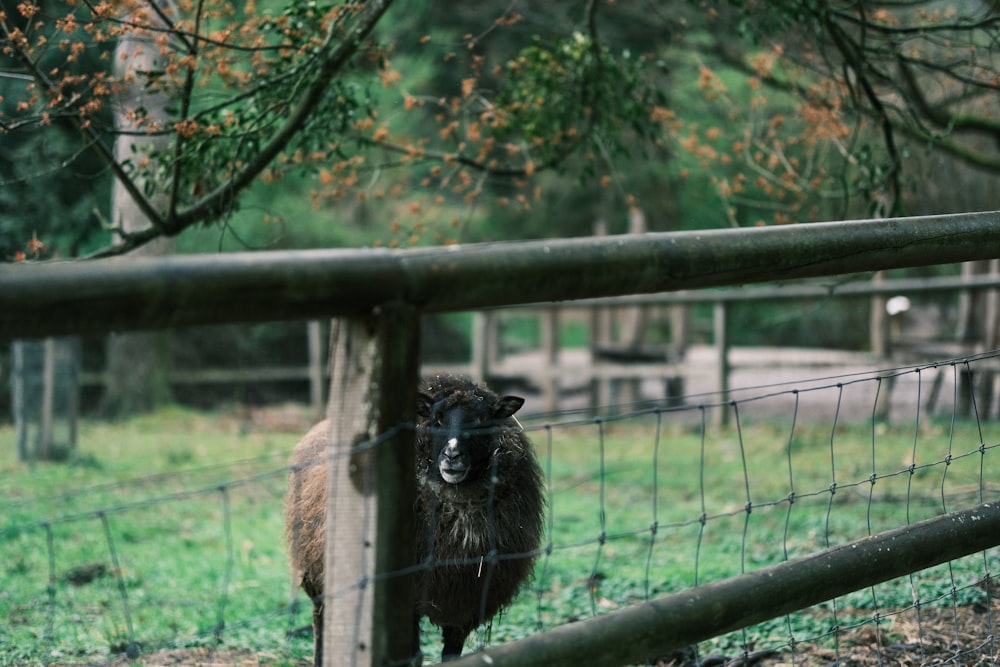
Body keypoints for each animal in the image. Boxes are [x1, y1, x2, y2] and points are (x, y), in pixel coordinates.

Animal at [286, 376, 544, 667]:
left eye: (481, 420)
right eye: (436, 419)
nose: (452, 456)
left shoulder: (466, 599)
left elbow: (452, 655)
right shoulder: (407, 600)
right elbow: (413, 657)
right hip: (316, 570)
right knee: (320, 621)